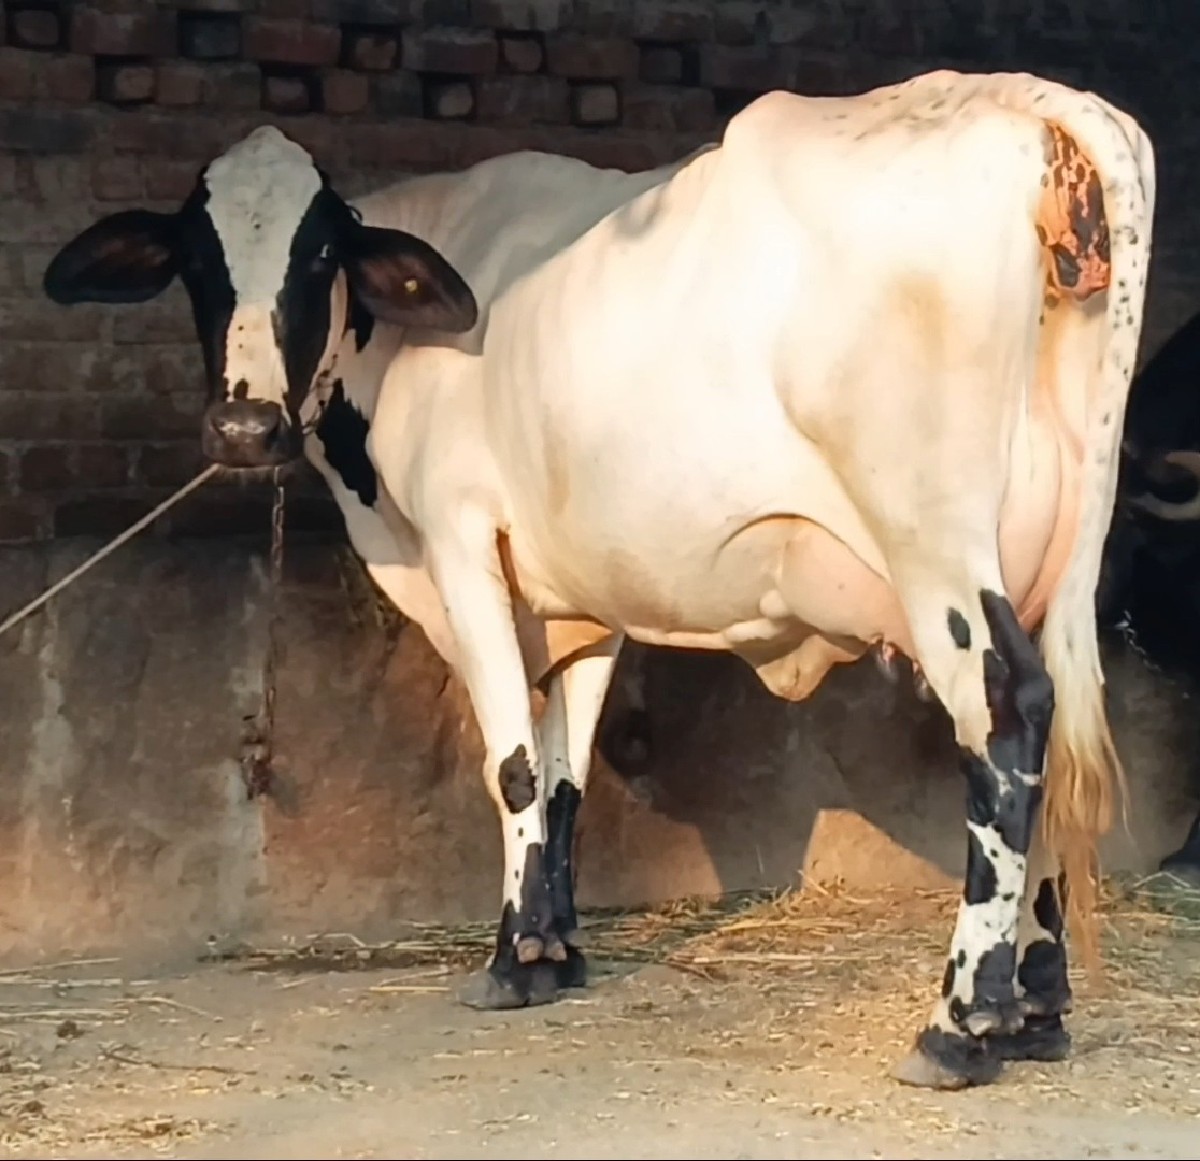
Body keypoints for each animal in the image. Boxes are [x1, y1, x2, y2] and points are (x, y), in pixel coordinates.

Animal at [42, 123, 711, 1000]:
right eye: (193, 257)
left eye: (323, 253)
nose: (245, 429)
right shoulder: (585, 597)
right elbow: (562, 773)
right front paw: (559, 945)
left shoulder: (467, 544)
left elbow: (517, 764)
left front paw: (518, 953)